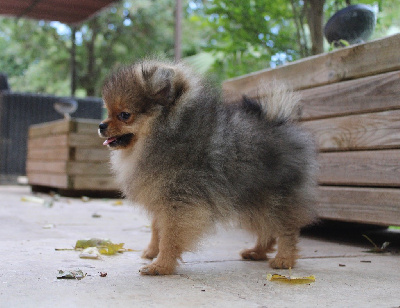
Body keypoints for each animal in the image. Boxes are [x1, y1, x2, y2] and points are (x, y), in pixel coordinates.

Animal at [98, 59, 318, 276]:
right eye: (108, 111)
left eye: (124, 115)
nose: (101, 125)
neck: (168, 133)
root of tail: (278, 122)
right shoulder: (161, 196)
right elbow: (156, 228)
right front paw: (152, 251)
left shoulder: (180, 201)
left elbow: (170, 235)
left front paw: (160, 265)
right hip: (252, 199)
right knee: (267, 229)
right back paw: (257, 252)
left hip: (274, 197)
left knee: (286, 228)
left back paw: (284, 259)